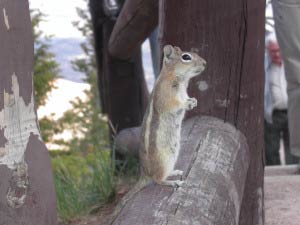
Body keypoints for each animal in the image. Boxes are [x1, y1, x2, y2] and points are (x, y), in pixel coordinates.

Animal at [109, 44, 206, 223]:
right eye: (186, 57)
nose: (204, 63)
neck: (178, 79)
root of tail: (144, 174)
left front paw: (193, 101)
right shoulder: (167, 96)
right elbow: (176, 104)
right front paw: (187, 104)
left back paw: (174, 173)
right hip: (163, 160)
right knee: (158, 180)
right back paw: (173, 183)